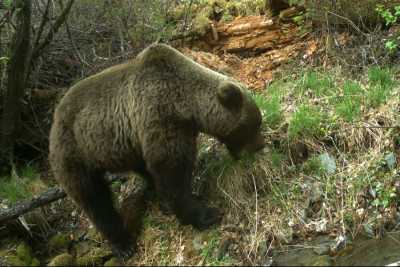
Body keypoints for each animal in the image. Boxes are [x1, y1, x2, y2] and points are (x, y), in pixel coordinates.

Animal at [48, 43, 264, 260]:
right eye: (253, 125)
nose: (260, 146)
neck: (187, 105)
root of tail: (54, 118)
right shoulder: (161, 114)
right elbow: (171, 171)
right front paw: (207, 214)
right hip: (76, 151)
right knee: (94, 198)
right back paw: (123, 245)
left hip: (127, 146)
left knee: (140, 169)